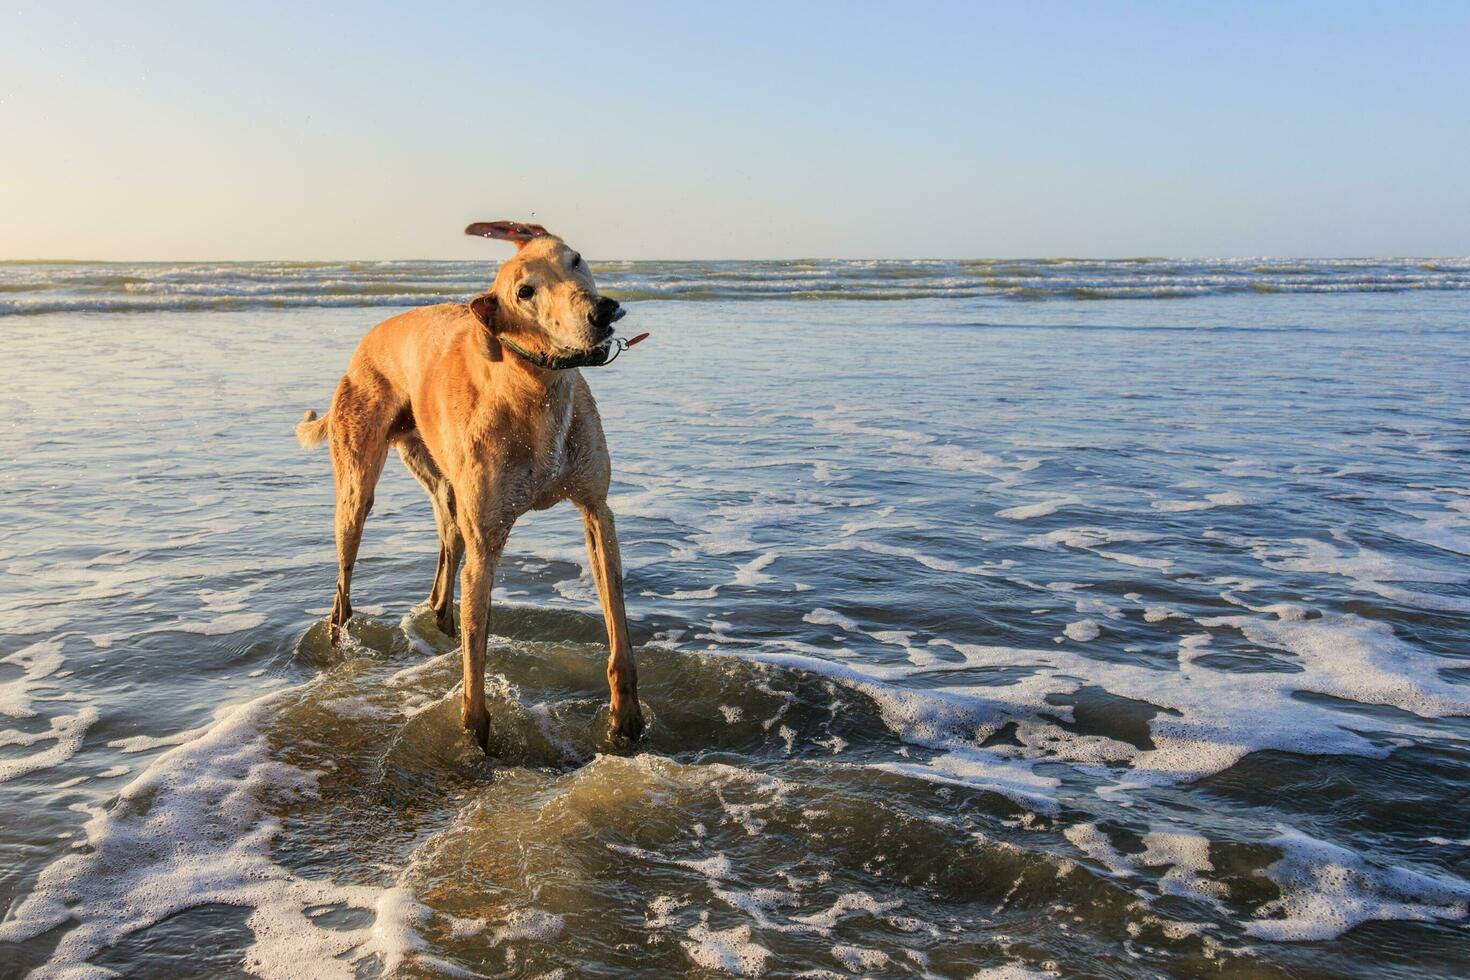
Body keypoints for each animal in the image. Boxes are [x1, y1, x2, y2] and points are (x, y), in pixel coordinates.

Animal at [292, 221, 643, 752]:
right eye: (525, 292)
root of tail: (365, 344)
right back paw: (340, 637)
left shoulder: (596, 511)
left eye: (576, 259)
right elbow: (476, 659)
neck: (533, 390)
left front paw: (626, 721)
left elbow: (617, 626)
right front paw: (473, 740)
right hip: (357, 486)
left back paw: (440, 615)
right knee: (344, 581)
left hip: (442, 483)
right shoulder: (487, 543)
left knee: (446, 546)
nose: (600, 311)